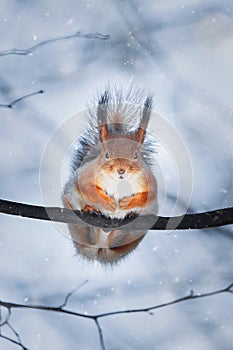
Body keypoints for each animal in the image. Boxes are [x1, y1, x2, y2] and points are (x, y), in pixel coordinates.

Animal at [62, 87, 157, 266]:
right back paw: (90, 216)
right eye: (106, 154)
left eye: (136, 155)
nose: (121, 170)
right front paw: (108, 203)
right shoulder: (85, 176)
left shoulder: (150, 181)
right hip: (71, 207)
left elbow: (148, 195)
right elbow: (87, 189)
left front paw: (127, 204)